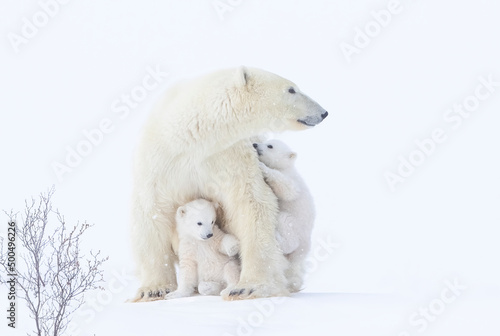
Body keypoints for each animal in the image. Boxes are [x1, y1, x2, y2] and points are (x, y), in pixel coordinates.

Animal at [256, 139, 314, 292]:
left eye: (270, 146)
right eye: (266, 142)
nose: (255, 145)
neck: (287, 167)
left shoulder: (291, 180)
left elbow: (288, 189)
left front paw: (263, 167)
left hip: (296, 225)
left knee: (286, 225)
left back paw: (277, 237)